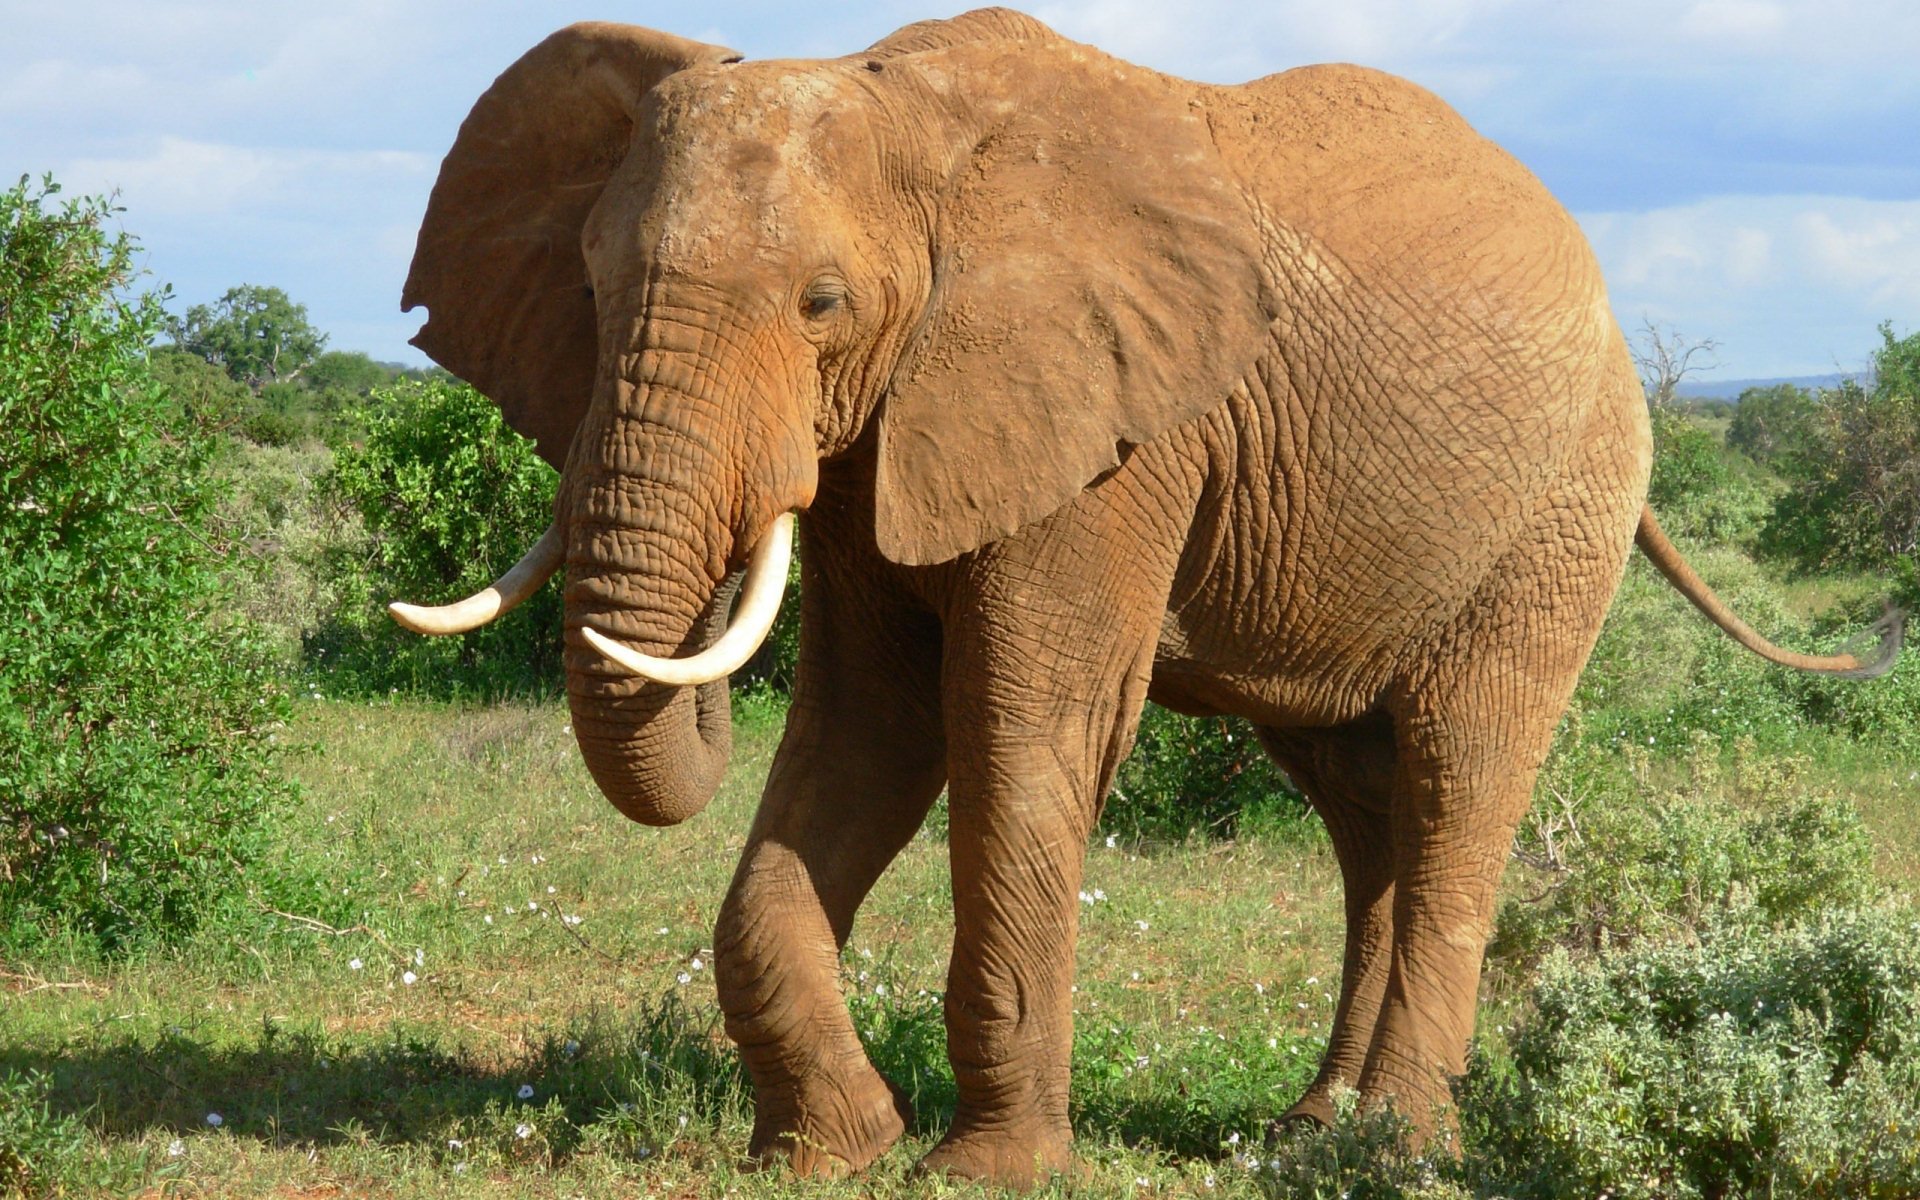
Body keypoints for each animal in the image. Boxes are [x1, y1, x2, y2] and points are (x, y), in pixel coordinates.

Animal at [382, 7, 1896, 1190]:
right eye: (588, 281)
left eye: (821, 304)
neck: (904, 104)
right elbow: (869, 725)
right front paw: (831, 1153)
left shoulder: (1115, 437)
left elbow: (1021, 725)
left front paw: (984, 1173)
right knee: (1365, 803)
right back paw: (1313, 1132)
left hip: (1556, 512)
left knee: (1460, 774)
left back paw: (1399, 1151)